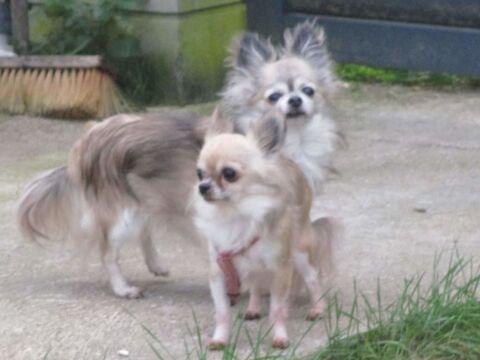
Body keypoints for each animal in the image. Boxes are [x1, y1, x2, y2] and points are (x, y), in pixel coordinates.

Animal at [191, 111, 334, 350]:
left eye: (229, 173)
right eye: (199, 173)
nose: (203, 187)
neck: (235, 213)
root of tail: (288, 160)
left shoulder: (280, 269)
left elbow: (277, 309)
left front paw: (280, 337)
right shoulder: (219, 271)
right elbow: (222, 312)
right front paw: (220, 339)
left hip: (300, 253)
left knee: (313, 281)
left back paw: (318, 309)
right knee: (256, 285)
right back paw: (253, 308)